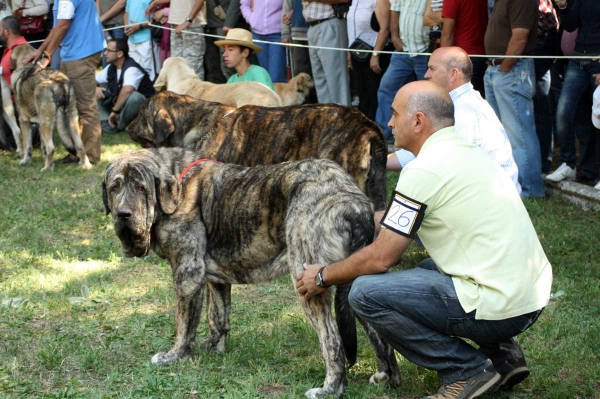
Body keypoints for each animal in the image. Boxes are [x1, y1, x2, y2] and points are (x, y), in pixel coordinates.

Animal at [10, 44, 90, 172]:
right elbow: (43, 148)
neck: (27, 66)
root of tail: (58, 81)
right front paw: (46, 160)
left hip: (46, 123)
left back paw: (47, 169)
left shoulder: (24, 121)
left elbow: (28, 147)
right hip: (71, 119)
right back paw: (85, 165)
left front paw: (25, 161)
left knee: (51, 147)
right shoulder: (38, 124)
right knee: (80, 145)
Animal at [103, 148, 404, 398]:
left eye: (140, 187)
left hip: (308, 283)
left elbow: (184, 325)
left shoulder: (188, 274)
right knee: (377, 334)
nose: (123, 214)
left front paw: (175, 355)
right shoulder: (215, 279)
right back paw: (387, 377)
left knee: (332, 340)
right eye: (114, 187)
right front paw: (214, 349)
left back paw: (330, 388)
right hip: (354, 277)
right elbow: (217, 317)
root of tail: (352, 200)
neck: (176, 186)